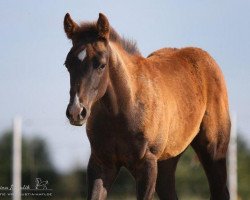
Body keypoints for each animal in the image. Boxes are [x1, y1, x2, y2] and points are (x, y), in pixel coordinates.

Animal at [63, 12, 230, 200]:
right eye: (67, 64)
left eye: (101, 64)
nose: (76, 111)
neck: (121, 111)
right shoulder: (100, 164)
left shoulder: (147, 165)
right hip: (167, 160)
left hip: (213, 150)